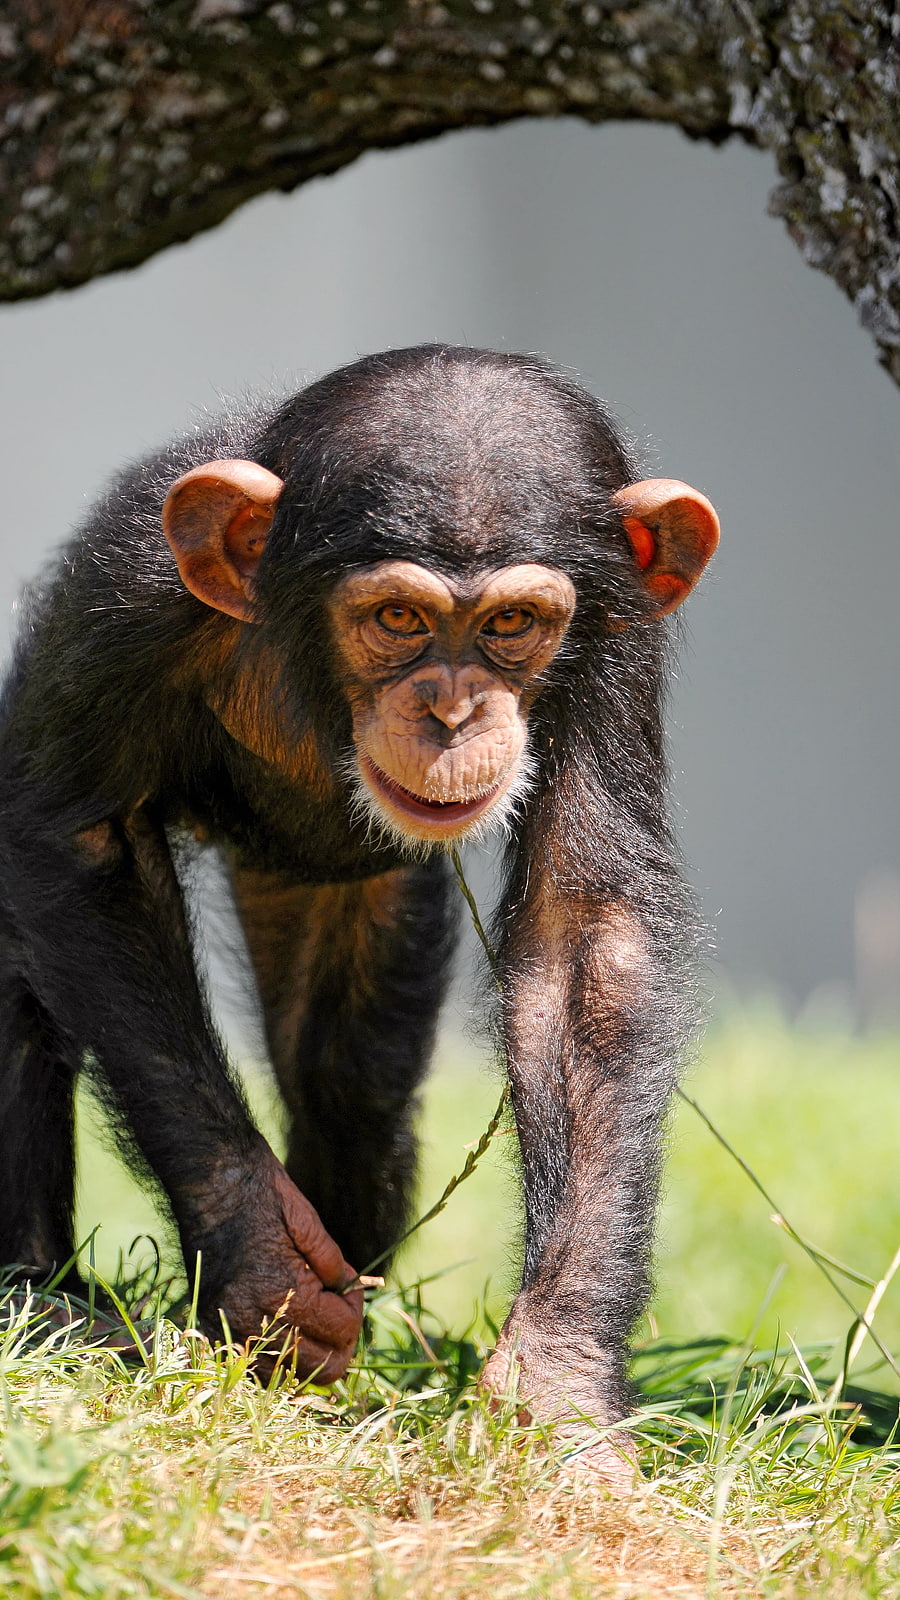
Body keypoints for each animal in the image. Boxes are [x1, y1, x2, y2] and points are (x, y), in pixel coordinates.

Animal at [0, 346, 718, 1479]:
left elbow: (585, 934)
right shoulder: (126, 597)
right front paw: (264, 1256)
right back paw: (46, 1302)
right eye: (398, 620)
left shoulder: (614, 642)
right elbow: (86, 843)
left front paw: (558, 1372)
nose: (451, 708)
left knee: (349, 1080)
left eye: (511, 625)